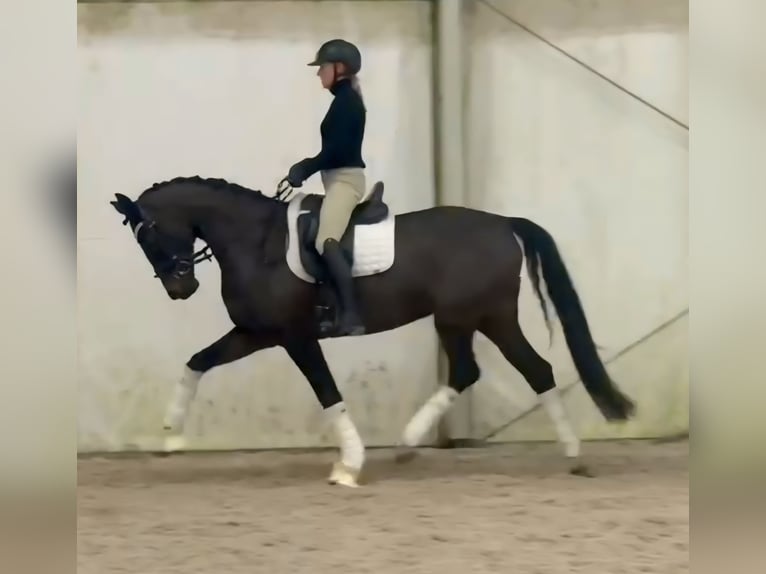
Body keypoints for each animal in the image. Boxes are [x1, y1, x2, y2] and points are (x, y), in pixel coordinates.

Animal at [110, 175, 635, 487]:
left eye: (148, 235)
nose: (181, 288)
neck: (255, 243)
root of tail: (504, 224)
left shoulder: (295, 337)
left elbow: (328, 393)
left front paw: (349, 466)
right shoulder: (256, 332)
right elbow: (196, 362)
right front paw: (171, 435)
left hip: (480, 316)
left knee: (528, 369)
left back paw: (572, 455)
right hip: (466, 319)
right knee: (479, 371)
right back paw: (411, 445)